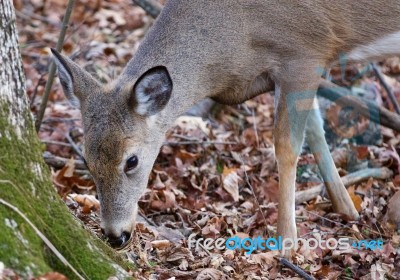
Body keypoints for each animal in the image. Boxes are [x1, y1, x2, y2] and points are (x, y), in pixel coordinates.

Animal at [50, 0, 400, 258]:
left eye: (132, 161)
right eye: (86, 160)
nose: (115, 235)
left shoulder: (305, 53)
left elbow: (287, 145)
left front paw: (286, 242)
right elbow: (315, 129)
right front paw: (347, 208)